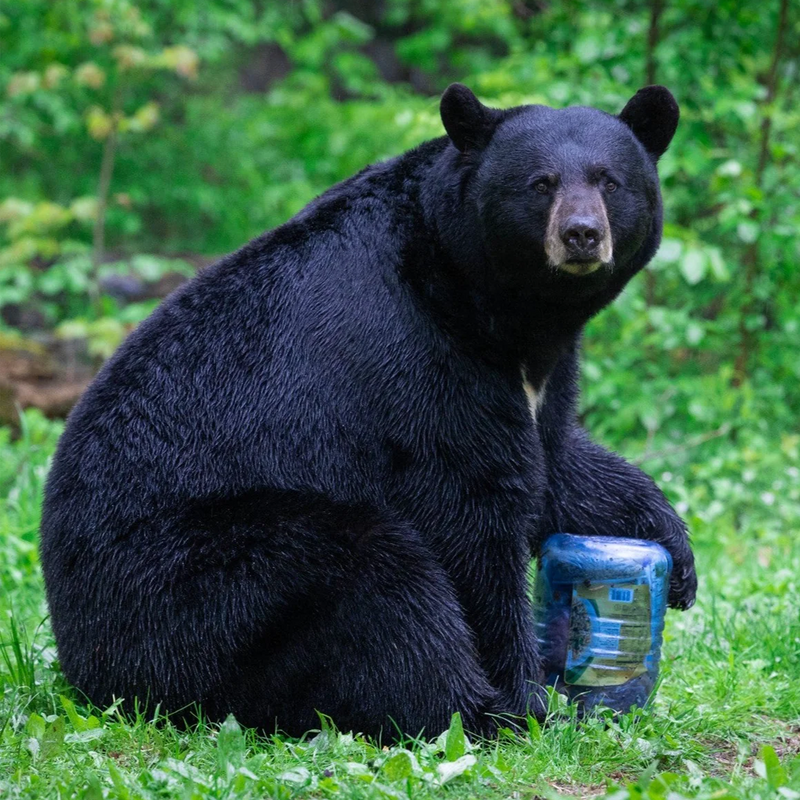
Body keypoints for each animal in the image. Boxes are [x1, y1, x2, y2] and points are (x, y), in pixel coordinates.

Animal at [40, 83, 697, 741]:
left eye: (610, 180)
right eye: (540, 183)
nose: (582, 234)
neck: (497, 307)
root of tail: (85, 661)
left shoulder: (540, 372)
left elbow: (557, 459)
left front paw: (674, 555)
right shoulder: (421, 356)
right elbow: (472, 508)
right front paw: (527, 695)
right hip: (194, 583)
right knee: (377, 579)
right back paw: (476, 709)